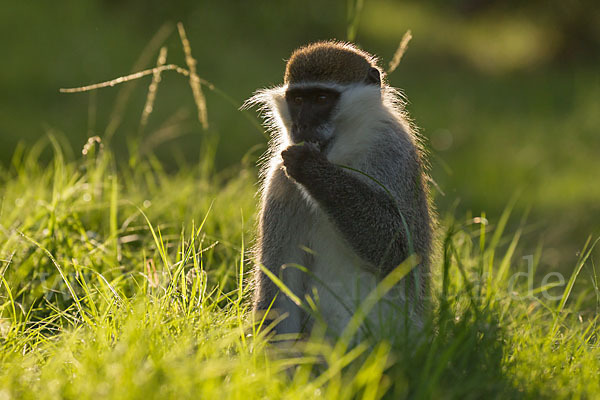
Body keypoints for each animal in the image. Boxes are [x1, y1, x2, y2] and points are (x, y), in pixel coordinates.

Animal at [244, 41, 436, 340]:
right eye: (298, 100)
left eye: (322, 99)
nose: (302, 126)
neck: (342, 156)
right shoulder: (280, 181)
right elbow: (280, 280)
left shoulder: (393, 151)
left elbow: (403, 250)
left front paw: (311, 169)